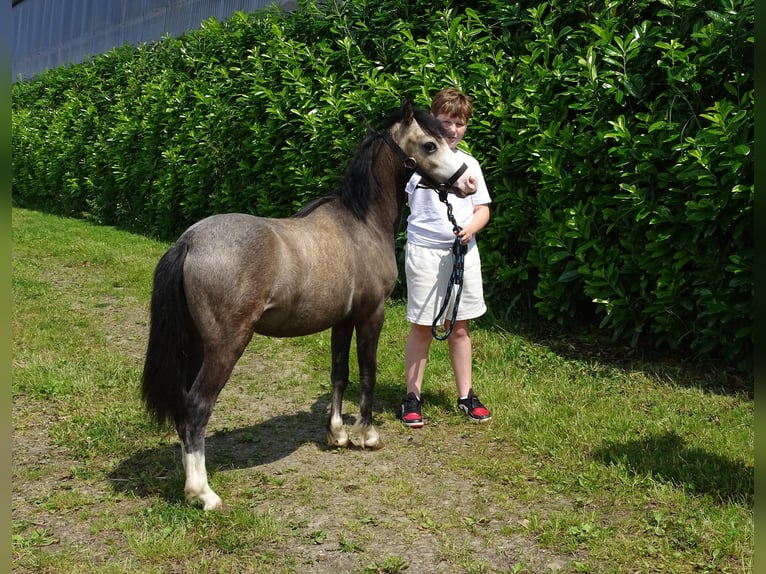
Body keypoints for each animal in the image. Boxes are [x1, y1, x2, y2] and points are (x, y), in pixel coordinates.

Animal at [143, 101, 476, 510]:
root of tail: (188, 242)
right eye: (430, 144)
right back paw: (202, 493)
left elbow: (339, 373)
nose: (469, 182)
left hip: (194, 347)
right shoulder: (371, 315)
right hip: (224, 347)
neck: (361, 222)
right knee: (196, 407)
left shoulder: (342, 320)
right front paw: (367, 435)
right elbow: (368, 372)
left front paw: (338, 434)